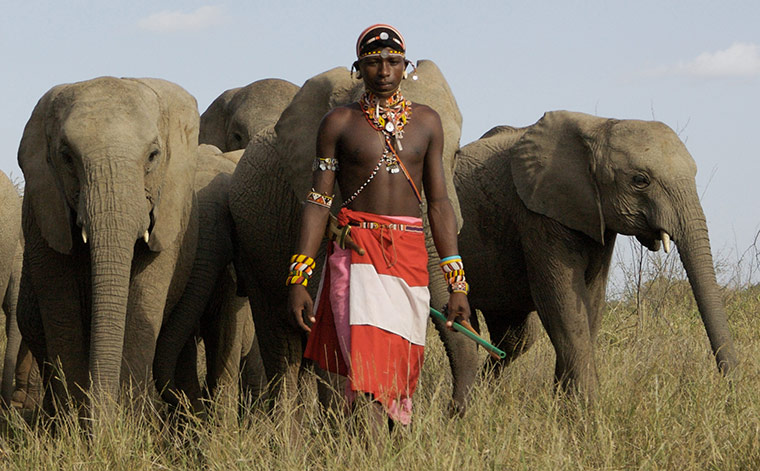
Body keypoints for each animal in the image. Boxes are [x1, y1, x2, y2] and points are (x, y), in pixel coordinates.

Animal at [16, 76, 202, 411]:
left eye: (154, 155)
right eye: (66, 156)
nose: (101, 412)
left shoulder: (170, 215)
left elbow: (141, 313)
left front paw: (123, 421)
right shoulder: (44, 217)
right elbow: (63, 316)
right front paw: (78, 421)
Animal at [449, 110, 737, 400]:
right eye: (640, 181)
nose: (731, 388)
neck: (598, 126)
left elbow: (591, 301)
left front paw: (564, 401)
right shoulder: (537, 214)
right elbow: (562, 304)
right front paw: (586, 406)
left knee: (516, 337)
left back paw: (485, 393)